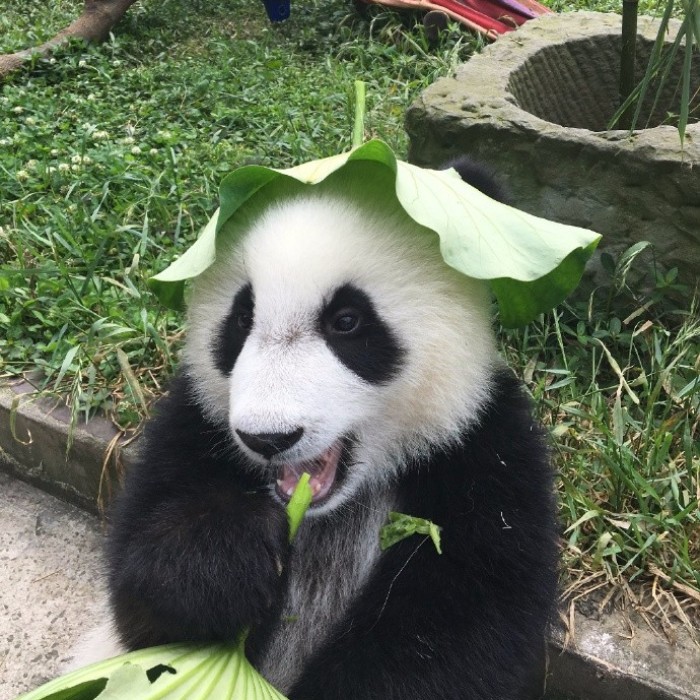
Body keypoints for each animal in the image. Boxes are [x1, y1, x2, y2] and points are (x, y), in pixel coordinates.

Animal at [103, 160, 559, 700]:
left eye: (346, 321)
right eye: (242, 318)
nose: (268, 439)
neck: (332, 511)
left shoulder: (485, 453)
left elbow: (463, 632)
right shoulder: (192, 426)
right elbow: (145, 613)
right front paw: (227, 556)